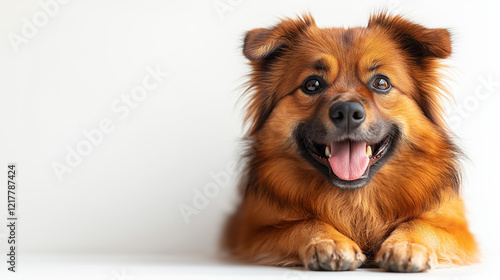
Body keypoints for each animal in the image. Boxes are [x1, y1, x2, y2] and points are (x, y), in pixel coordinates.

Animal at [225, 12, 478, 272]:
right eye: (312, 84)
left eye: (381, 83)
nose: (347, 111)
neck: (355, 198)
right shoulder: (252, 231)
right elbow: (302, 223)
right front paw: (329, 242)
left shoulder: (458, 229)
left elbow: (420, 223)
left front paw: (407, 246)